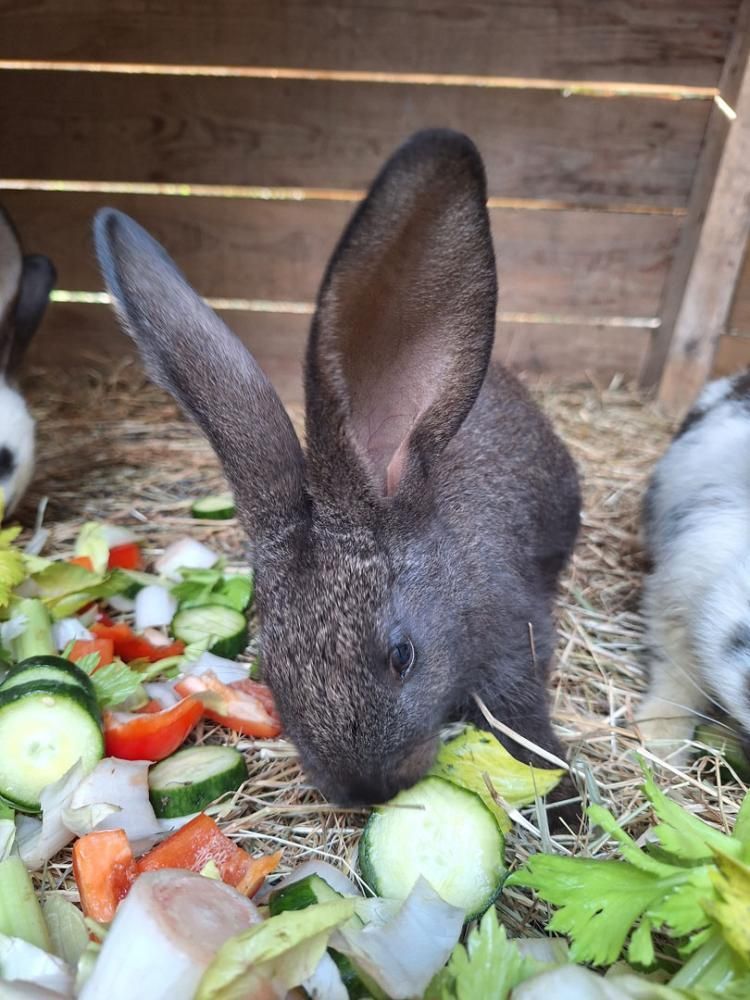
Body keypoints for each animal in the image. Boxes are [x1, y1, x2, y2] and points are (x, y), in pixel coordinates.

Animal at [93, 129, 581, 811]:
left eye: (402, 656)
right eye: (271, 666)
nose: (365, 790)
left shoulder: (516, 634)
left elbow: (520, 717)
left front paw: (561, 805)